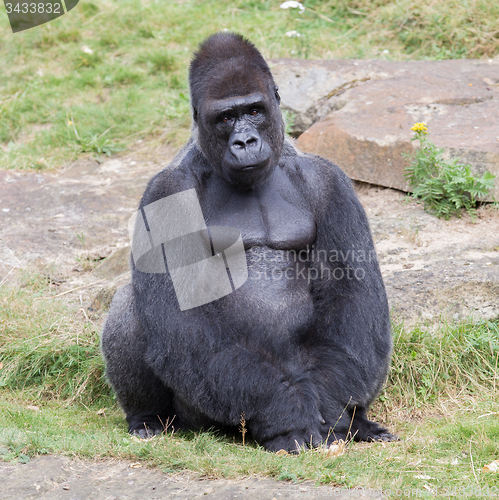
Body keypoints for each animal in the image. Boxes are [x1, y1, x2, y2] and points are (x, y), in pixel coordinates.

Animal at [102, 31, 398, 454]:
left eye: (254, 110)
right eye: (226, 118)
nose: (245, 140)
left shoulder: (330, 181)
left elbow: (351, 302)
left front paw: (334, 414)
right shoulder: (165, 192)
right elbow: (185, 320)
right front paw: (286, 418)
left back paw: (357, 421)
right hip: (209, 411)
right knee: (132, 305)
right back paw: (149, 418)